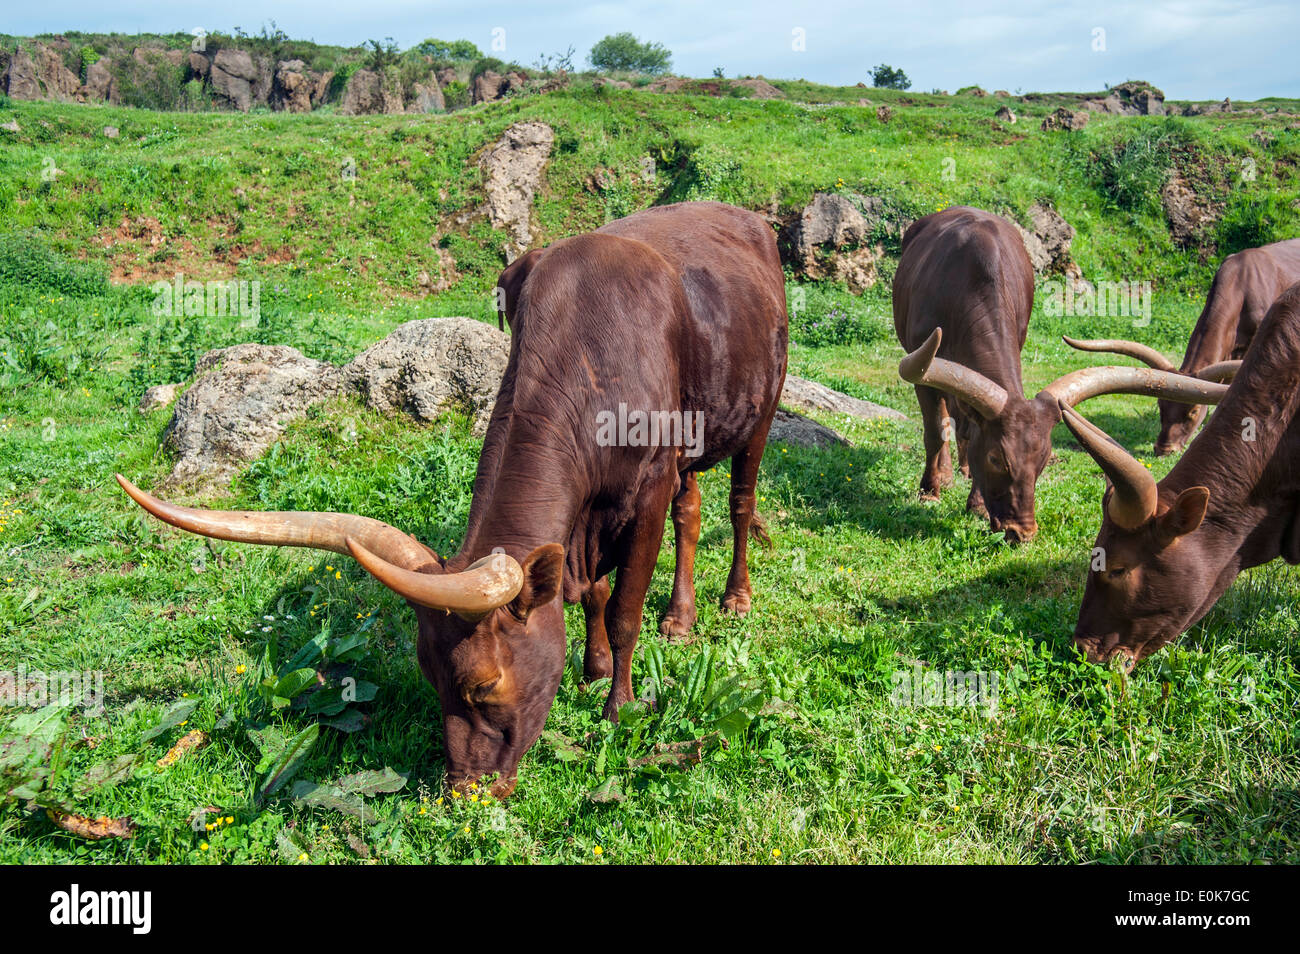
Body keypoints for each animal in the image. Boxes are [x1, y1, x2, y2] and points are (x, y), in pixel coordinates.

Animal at [119, 201, 780, 800]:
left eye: (482, 687)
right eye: (429, 679)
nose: (465, 791)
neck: (592, 348)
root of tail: (746, 217)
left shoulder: (646, 490)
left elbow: (622, 611)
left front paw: (619, 710)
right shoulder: (589, 522)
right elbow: (592, 593)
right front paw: (590, 674)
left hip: (760, 410)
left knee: (739, 504)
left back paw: (735, 598)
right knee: (691, 510)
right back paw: (680, 616)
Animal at [894, 204, 1227, 540]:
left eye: (1043, 461)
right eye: (996, 459)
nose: (1022, 532)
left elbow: (969, 429)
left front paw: (976, 503)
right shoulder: (923, 369)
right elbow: (934, 433)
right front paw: (930, 491)